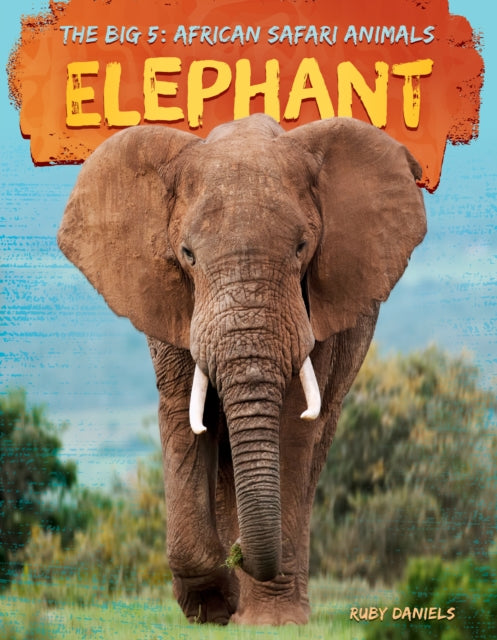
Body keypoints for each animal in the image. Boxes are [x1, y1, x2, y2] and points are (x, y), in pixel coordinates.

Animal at [57, 114, 426, 625]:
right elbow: (185, 414)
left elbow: (293, 424)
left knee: (316, 443)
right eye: (188, 254)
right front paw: (213, 606)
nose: (239, 555)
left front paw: (269, 621)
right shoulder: (174, 303)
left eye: (302, 248)